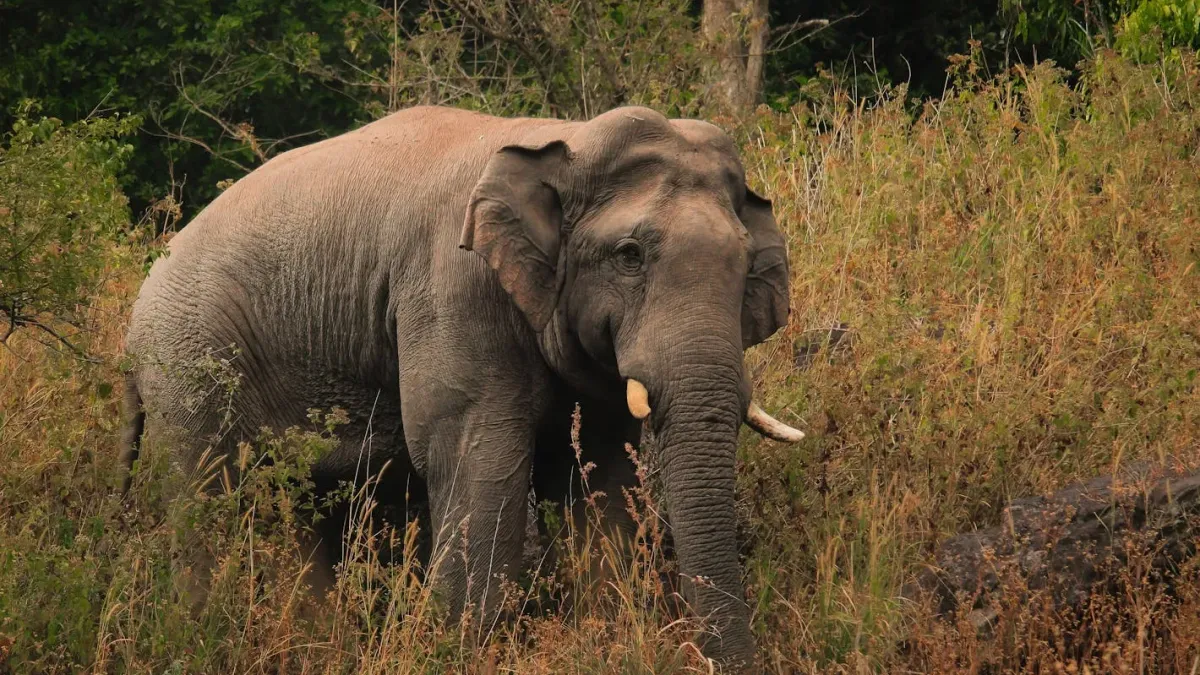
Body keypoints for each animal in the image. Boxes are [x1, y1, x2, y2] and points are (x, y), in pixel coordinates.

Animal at [119, 104, 804, 667]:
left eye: (746, 263)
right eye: (629, 255)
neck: (563, 139)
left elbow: (599, 473)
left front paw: (605, 642)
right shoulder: (453, 289)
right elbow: (480, 459)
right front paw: (457, 648)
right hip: (188, 359)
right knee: (209, 498)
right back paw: (204, 636)